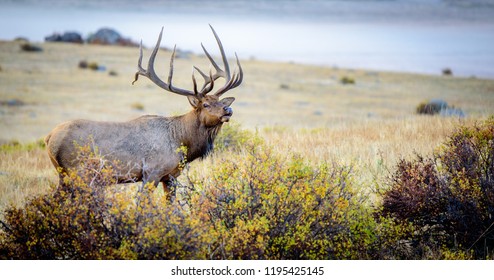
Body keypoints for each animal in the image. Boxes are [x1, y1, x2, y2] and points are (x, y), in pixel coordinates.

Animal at [45, 25, 242, 197]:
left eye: (219, 101)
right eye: (206, 104)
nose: (228, 109)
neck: (182, 141)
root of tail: (49, 137)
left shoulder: (170, 176)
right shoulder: (152, 171)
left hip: (65, 174)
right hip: (77, 171)